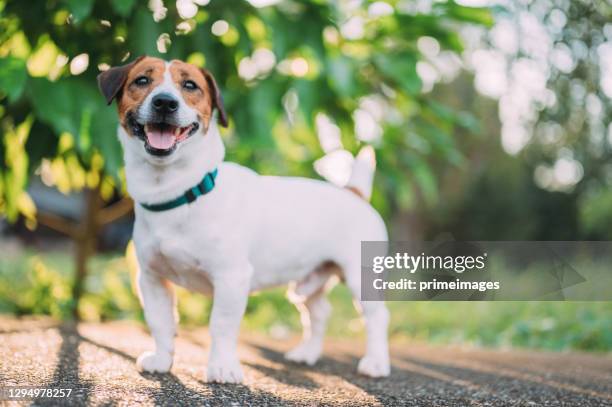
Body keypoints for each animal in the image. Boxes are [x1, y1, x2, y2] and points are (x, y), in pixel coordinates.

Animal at [98, 55, 390, 384]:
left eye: (190, 85)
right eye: (142, 81)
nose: (164, 103)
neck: (182, 193)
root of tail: (354, 193)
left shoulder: (231, 277)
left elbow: (221, 325)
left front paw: (223, 366)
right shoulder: (151, 278)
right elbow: (160, 322)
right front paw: (162, 359)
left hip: (361, 277)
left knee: (377, 317)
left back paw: (376, 363)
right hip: (310, 278)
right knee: (319, 312)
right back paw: (307, 353)